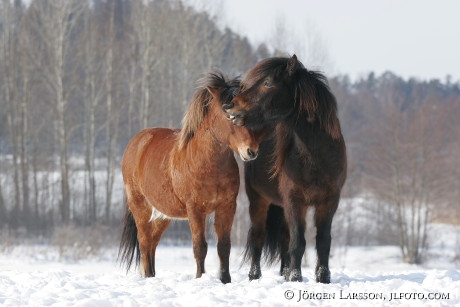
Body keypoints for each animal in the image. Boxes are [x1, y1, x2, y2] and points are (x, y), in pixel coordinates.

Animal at [118, 72, 258, 284]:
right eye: (228, 113)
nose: (251, 151)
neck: (207, 164)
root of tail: (137, 142)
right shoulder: (195, 210)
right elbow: (200, 247)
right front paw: (200, 277)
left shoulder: (226, 207)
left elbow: (224, 246)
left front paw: (225, 280)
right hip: (140, 208)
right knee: (144, 242)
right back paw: (149, 276)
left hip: (163, 215)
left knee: (152, 243)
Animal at [222, 55, 344, 284]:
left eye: (268, 83)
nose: (229, 106)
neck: (316, 157)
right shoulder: (295, 201)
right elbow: (298, 243)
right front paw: (296, 278)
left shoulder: (329, 201)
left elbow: (323, 241)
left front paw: (322, 278)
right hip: (259, 200)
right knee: (258, 237)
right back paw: (255, 276)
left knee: (285, 239)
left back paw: (285, 272)